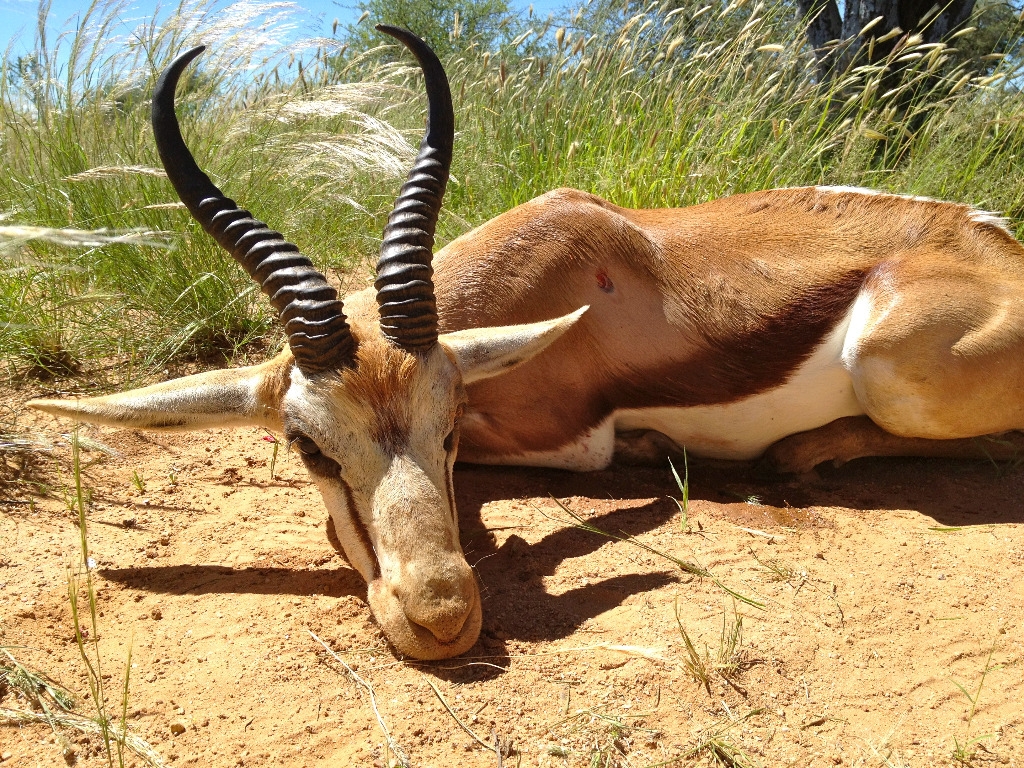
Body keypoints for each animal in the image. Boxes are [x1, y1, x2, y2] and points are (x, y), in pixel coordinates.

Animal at [29, 27, 1024, 659]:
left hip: (886, 367)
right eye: (307, 445)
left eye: (450, 424)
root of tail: (997, 239)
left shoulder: (571, 443)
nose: (441, 618)